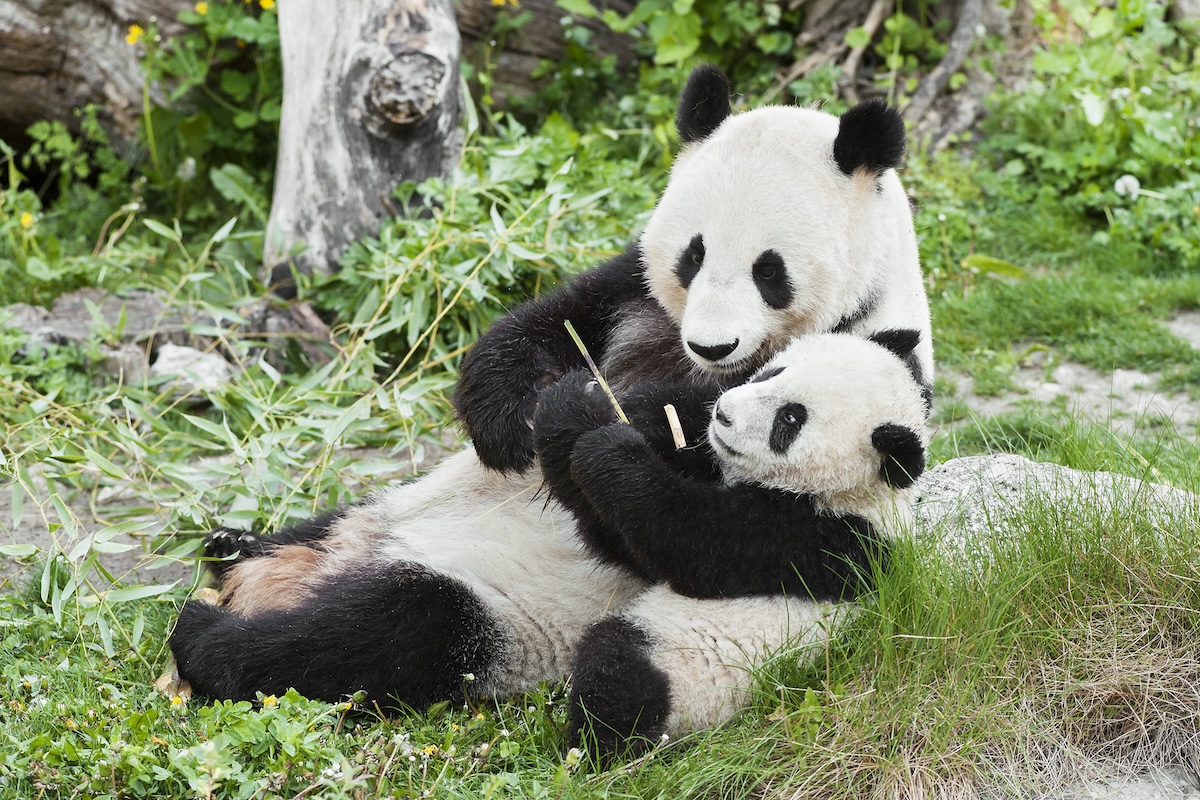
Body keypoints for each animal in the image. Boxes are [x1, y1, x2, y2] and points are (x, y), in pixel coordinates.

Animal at [531, 330, 929, 756]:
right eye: (771, 372)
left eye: (790, 419)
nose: (722, 413)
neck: (855, 492)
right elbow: (617, 537)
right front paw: (575, 403)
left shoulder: (821, 540)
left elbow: (688, 542)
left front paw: (610, 449)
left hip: (686, 671)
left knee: (619, 672)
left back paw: (599, 744)